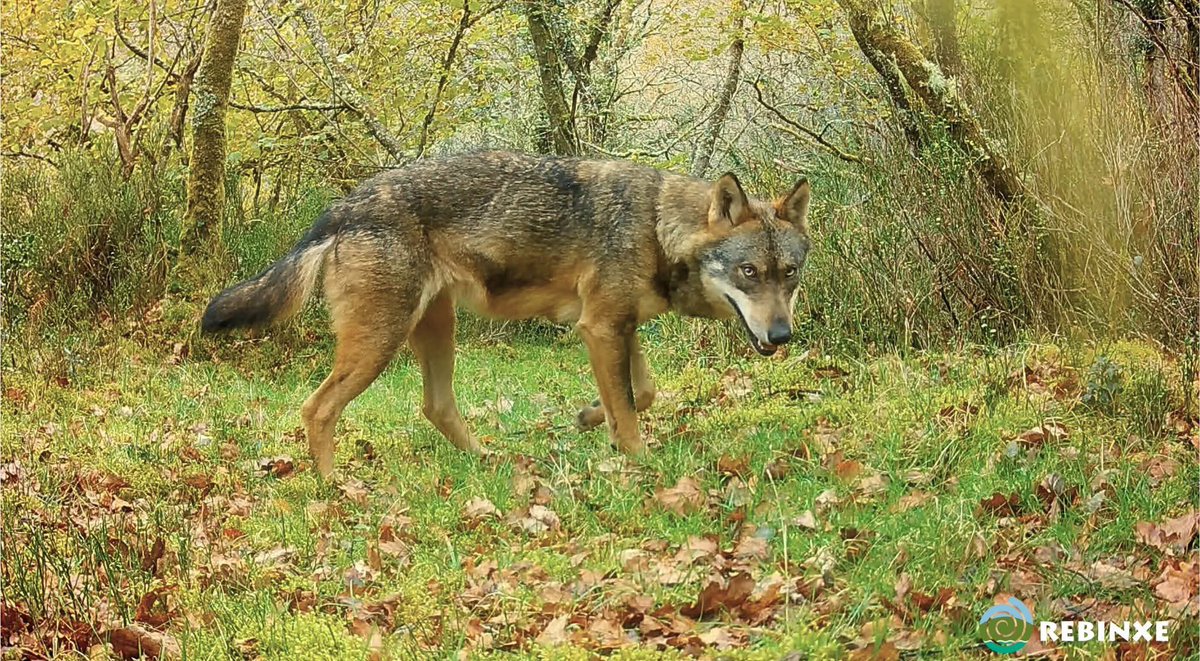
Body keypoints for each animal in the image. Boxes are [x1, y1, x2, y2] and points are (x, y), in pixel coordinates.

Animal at [202, 151, 812, 476]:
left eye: (790, 274)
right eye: (748, 272)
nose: (782, 336)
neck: (656, 227)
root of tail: (344, 207)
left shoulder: (616, 328)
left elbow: (642, 393)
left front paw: (591, 420)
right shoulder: (600, 327)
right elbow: (633, 409)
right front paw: (639, 461)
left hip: (435, 331)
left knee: (436, 407)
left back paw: (487, 460)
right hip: (381, 341)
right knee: (318, 409)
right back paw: (335, 489)